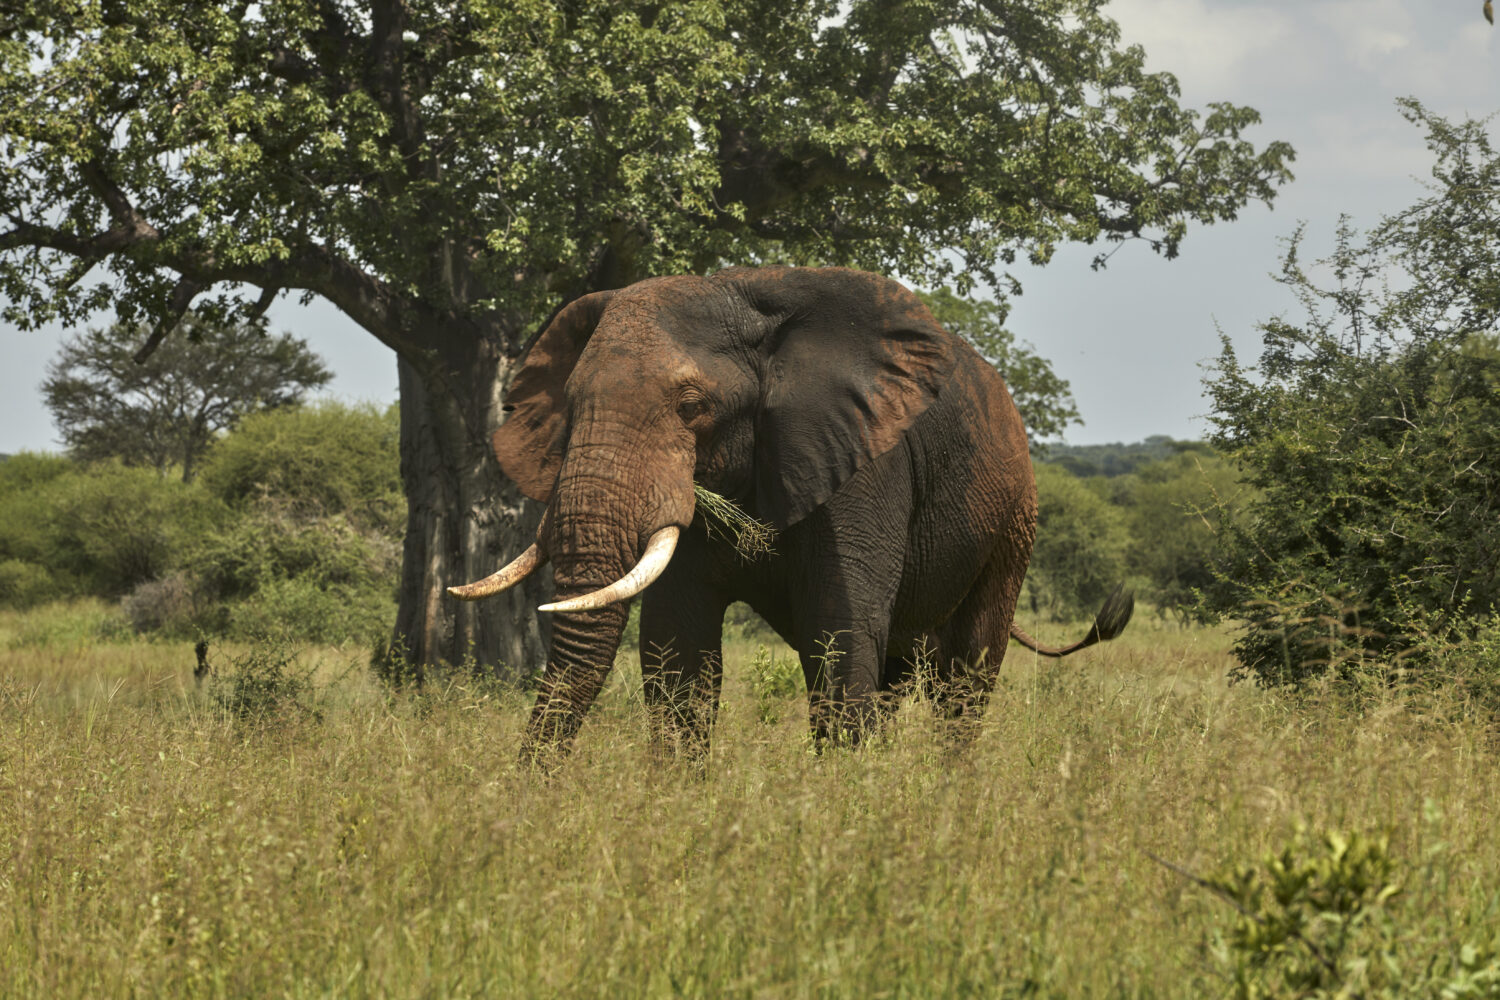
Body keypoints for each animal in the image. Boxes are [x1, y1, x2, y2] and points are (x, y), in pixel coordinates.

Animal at [449, 266, 1132, 762]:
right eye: (569, 404)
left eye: (691, 404)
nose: (527, 798)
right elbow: (679, 653)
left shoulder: (861, 459)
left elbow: (839, 632)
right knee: (895, 672)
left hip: (1015, 519)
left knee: (965, 678)